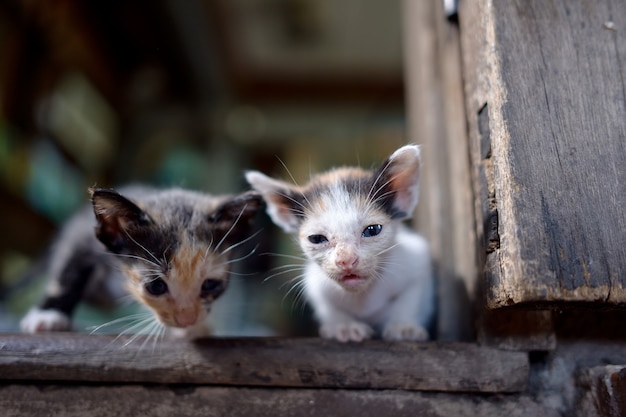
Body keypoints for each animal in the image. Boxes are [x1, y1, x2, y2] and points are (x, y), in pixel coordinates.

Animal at [20, 185, 260, 338]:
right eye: (156, 286)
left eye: (210, 284)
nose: (186, 320)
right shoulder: (83, 236)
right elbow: (68, 274)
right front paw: (49, 315)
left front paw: (194, 329)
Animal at [245, 145, 434, 342]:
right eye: (316, 239)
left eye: (372, 230)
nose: (346, 260)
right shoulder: (316, 285)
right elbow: (329, 308)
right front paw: (344, 326)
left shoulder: (416, 261)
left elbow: (410, 299)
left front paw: (403, 326)